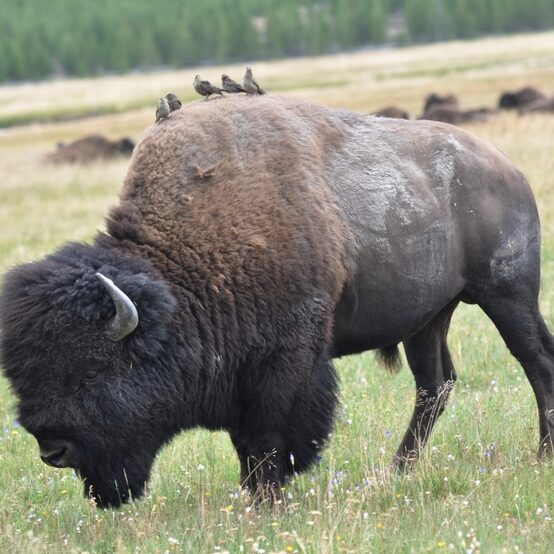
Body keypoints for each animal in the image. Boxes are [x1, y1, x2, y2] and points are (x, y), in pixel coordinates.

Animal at [1, 94, 552, 504]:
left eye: (92, 371)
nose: (51, 449)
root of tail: (507, 168)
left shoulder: (285, 363)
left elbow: (268, 436)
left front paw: (266, 497)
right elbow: (246, 440)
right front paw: (255, 495)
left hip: (506, 294)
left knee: (534, 360)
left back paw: (542, 455)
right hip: (429, 317)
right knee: (434, 385)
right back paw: (397, 470)